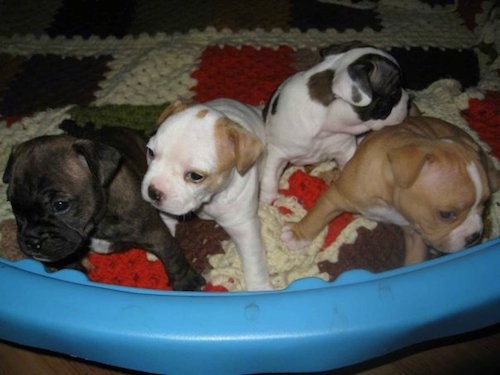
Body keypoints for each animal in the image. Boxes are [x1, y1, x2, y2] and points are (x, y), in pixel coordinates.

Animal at [2, 122, 205, 292]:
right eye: (13, 204)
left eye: (60, 205)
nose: (31, 241)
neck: (99, 221)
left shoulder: (155, 234)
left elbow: (173, 257)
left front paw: (186, 283)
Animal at [143, 98, 272, 292]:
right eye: (150, 152)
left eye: (195, 176)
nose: (153, 192)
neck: (211, 198)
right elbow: (166, 219)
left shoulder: (244, 228)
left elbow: (253, 261)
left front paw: (259, 287)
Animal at [258, 41, 410, 204]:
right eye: (395, 93)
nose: (408, 99)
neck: (326, 127)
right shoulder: (277, 153)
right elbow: (269, 177)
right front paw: (265, 202)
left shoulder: (345, 150)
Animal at [282, 117, 500, 264]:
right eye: (446, 214)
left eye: (485, 203)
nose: (474, 236)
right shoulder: (336, 197)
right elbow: (317, 217)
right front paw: (296, 234)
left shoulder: (415, 233)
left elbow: (414, 260)